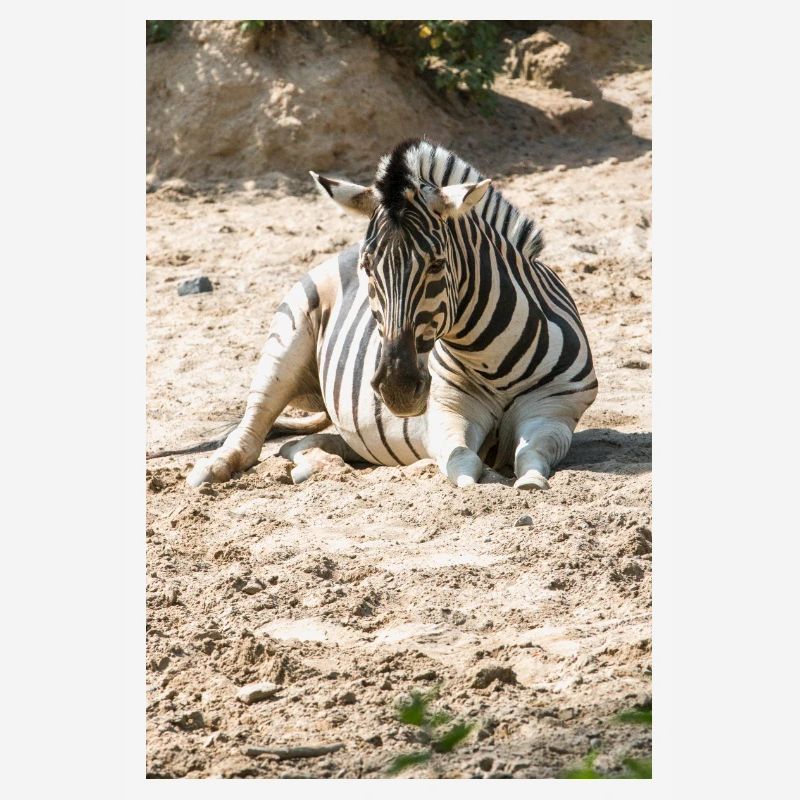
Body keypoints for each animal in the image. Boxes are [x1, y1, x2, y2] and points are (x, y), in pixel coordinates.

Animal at [186, 138, 598, 490]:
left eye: (437, 264)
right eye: (368, 266)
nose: (396, 388)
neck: (489, 357)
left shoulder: (555, 409)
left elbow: (531, 454)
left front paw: (529, 481)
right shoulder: (447, 411)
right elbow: (464, 462)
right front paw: (483, 479)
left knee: (304, 444)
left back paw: (313, 465)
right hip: (286, 341)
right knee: (254, 423)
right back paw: (212, 469)